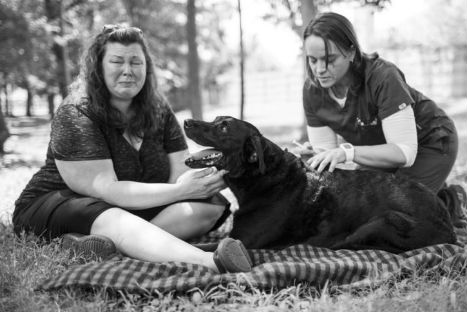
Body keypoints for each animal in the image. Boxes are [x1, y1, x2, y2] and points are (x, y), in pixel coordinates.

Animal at [184, 116, 458, 252]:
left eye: (223, 128)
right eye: (216, 119)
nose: (186, 121)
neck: (262, 177)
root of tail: (449, 225)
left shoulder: (242, 241)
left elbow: (201, 247)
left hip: (384, 220)